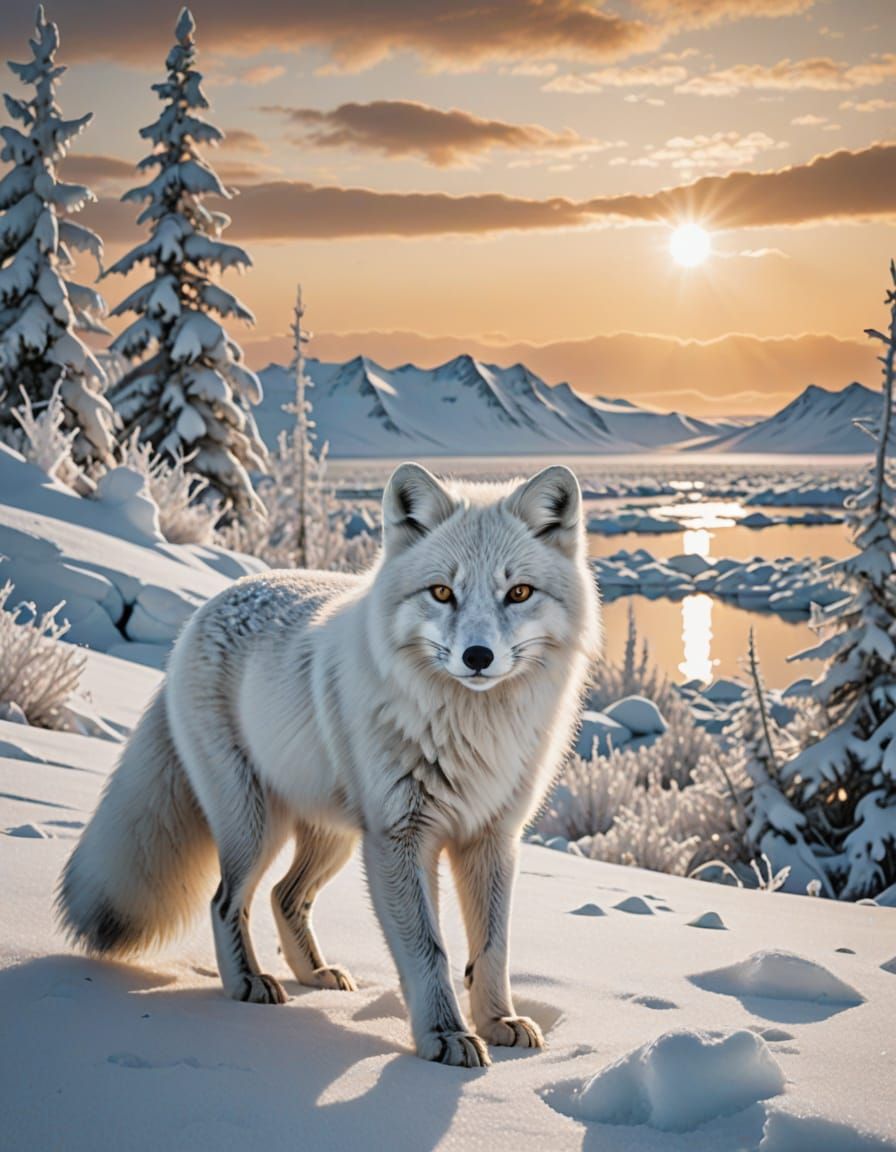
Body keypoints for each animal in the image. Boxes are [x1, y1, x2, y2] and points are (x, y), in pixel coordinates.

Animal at [57, 462, 600, 1067]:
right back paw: (248, 984)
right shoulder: (399, 837)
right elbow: (430, 951)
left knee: (284, 896)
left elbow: (493, 949)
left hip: (333, 837)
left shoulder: (491, 839)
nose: (477, 657)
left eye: (518, 593)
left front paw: (499, 1022)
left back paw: (314, 974)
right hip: (255, 827)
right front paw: (445, 1038)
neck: (472, 731)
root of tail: (198, 617)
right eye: (442, 592)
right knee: (226, 901)